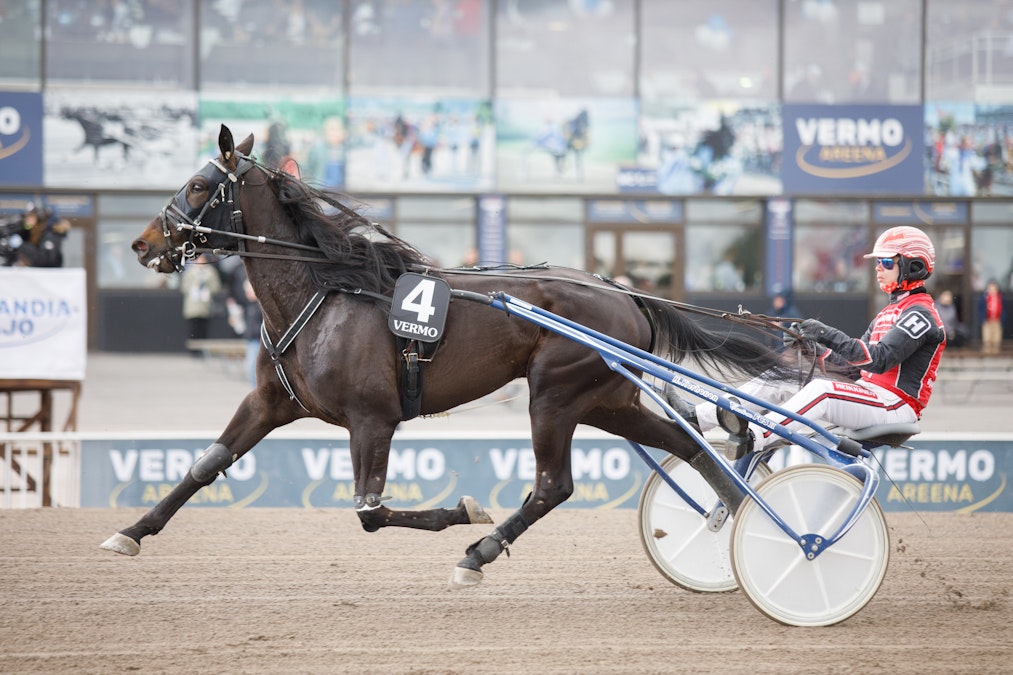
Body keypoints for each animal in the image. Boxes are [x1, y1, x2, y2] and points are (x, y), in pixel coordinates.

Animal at [104, 124, 798, 583]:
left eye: (198, 185)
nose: (141, 244)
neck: (323, 292)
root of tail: (624, 292)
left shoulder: (373, 419)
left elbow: (370, 512)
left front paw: (463, 511)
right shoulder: (272, 401)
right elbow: (205, 465)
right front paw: (130, 533)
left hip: (556, 394)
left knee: (554, 484)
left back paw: (480, 552)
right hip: (607, 400)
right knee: (687, 443)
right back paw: (748, 519)